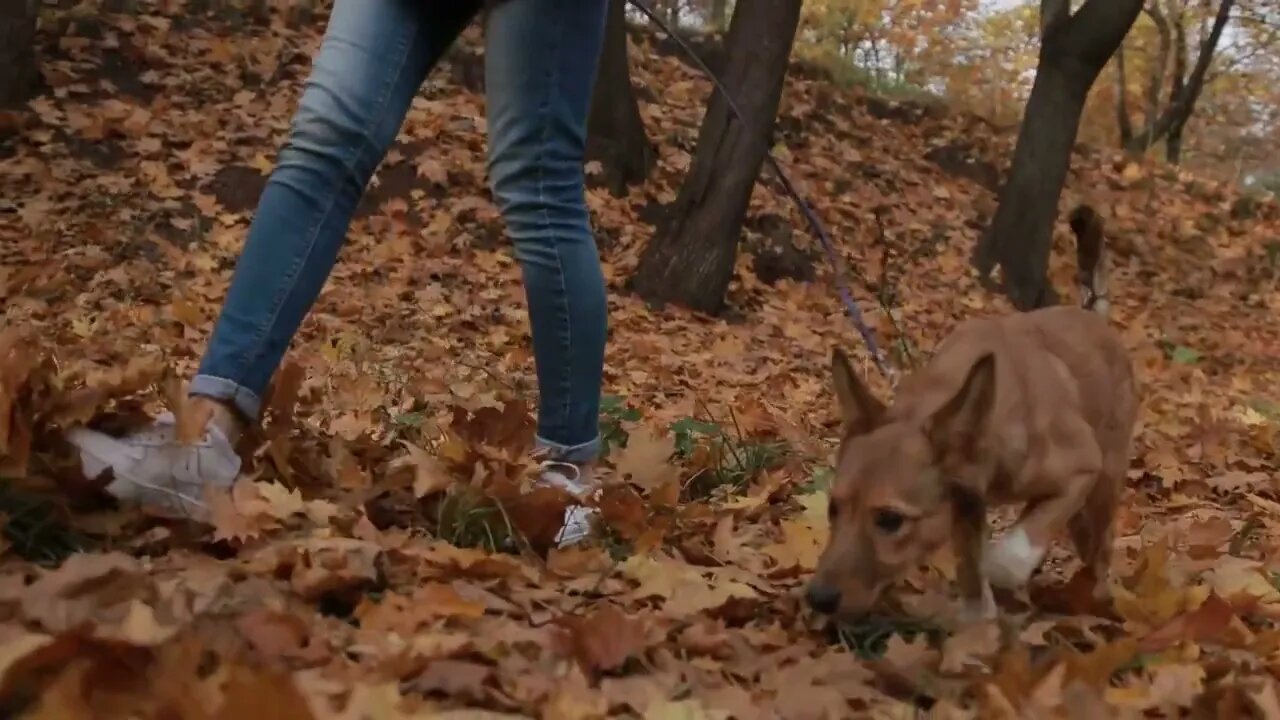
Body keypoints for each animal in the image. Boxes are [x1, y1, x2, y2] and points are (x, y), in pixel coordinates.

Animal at [808, 210, 1141, 620]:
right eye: (833, 508)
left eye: (889, 520)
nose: (817, 598)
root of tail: (1092, 314)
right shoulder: (966, 507)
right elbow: (972, 575)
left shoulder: (1081, 468)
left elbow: (1004, 560)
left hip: (1101, 492)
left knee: (1100, 550)